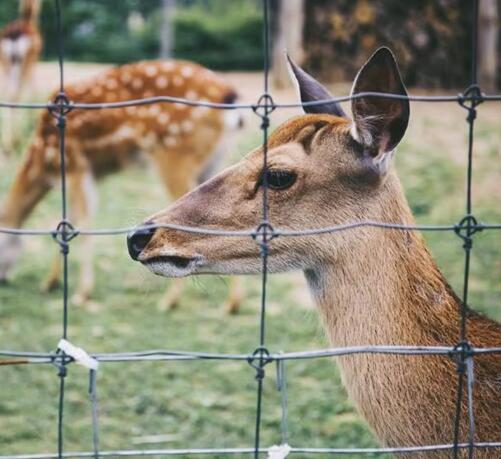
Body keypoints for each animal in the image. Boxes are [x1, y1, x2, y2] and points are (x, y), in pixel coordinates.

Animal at [0, 0, 42, 156]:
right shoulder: (34, 59)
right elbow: (32, 90)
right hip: (25, 60)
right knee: (16, 93)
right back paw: (14, 142)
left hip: (6, 62)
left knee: (8, 93)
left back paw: (8, 145)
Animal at [0, 56, 243, 310]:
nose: (3, 279)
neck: (43, 161)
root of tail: (229, 97)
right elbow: (69, 221)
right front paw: (50, 282)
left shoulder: (75, 164)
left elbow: (82, 223)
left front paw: (81, 294)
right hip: (214, 161)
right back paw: (231, 304)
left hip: (174, 152)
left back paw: (169, 301)